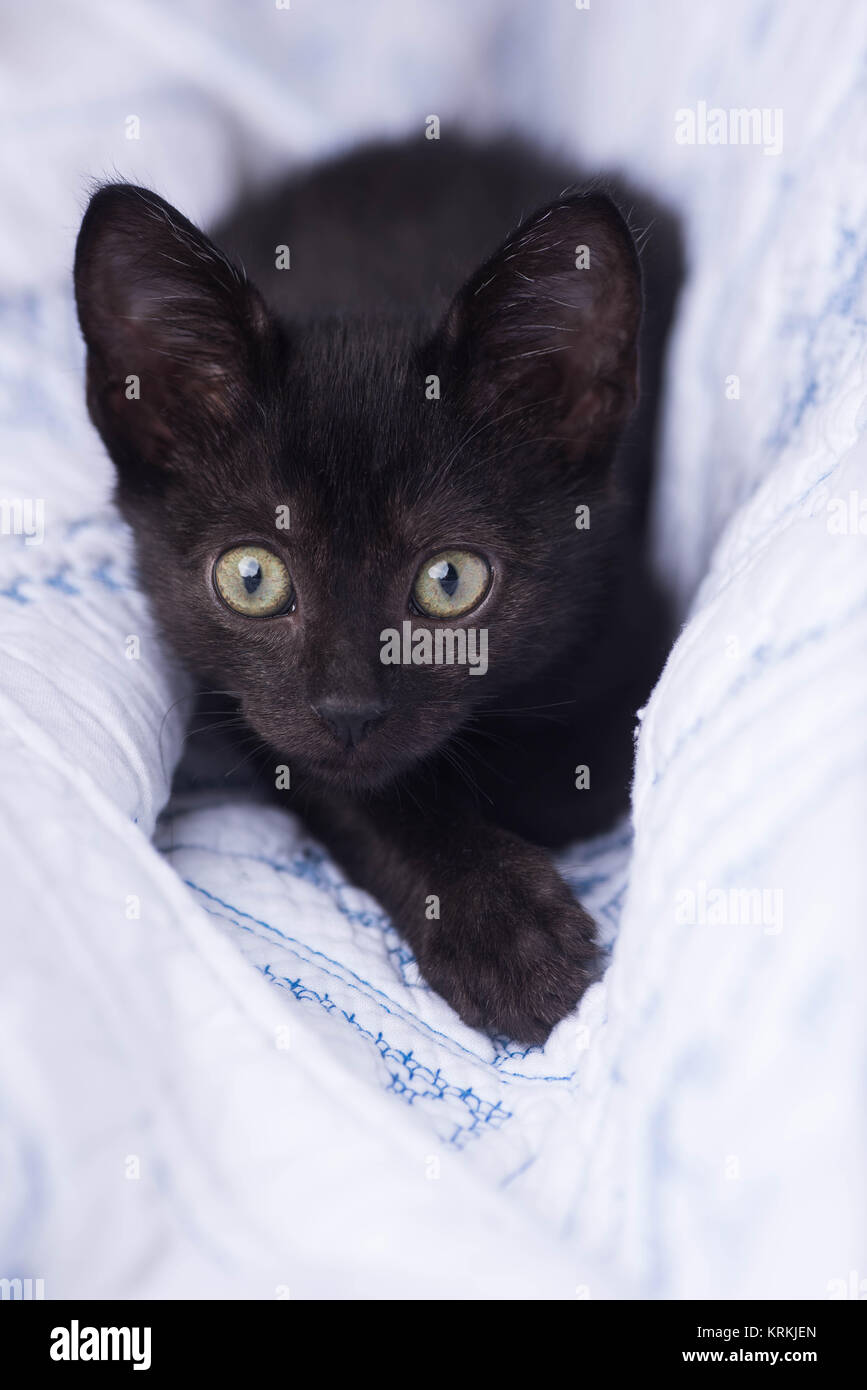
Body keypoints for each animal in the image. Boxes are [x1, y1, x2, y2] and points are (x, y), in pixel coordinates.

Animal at [74, 135, 675, 1039]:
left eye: (449, 580)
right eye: (251, 577)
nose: (348, 709)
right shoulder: (252, 712)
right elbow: (353, 791)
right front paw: (502, 928)